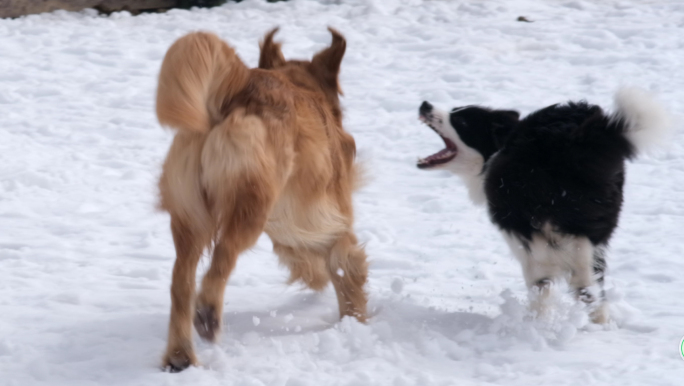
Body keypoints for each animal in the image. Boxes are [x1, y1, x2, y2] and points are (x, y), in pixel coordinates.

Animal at [155, 27, 368, 370]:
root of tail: (241, 85)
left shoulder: (297, 227)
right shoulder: (332, 222)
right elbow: (347, 272)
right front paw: (355, 325)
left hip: (190, 217)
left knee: (181, 282)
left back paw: (180, 355)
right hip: (251, 206)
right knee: (223, 257)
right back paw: (208, 313)